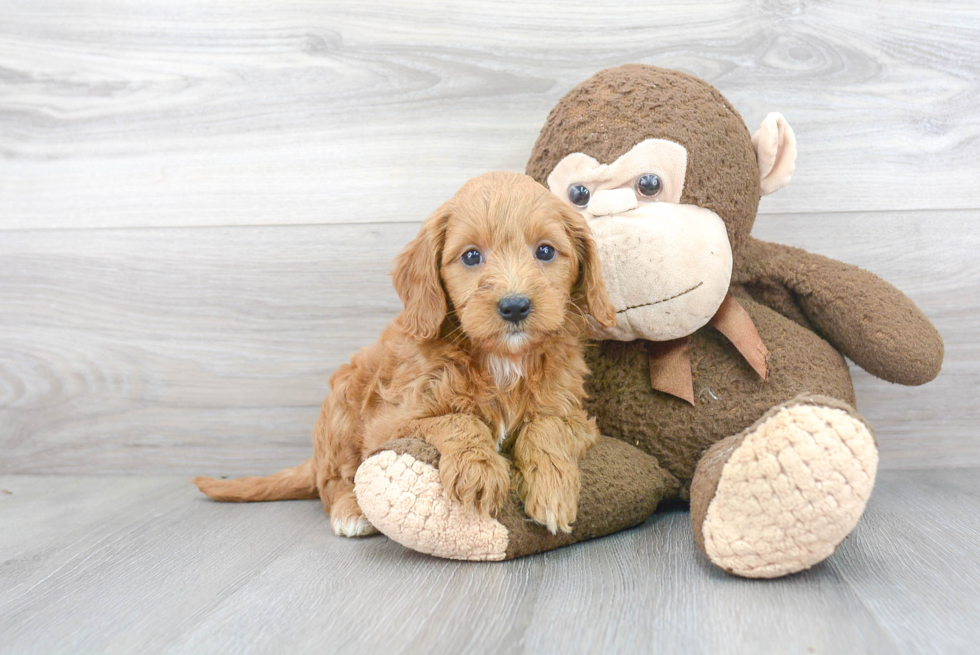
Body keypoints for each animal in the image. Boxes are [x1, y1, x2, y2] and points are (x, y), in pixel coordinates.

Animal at [195, 170, 616, 540]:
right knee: (334, 482)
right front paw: (479, 470)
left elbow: (545, 426)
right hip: (341, 406)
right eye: (471, 256)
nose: (514, 306)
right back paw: (350, 511)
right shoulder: (393, 421)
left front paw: (551, 487)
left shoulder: (575, 414)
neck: (502, 360)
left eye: (545, 251)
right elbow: (458, 420)